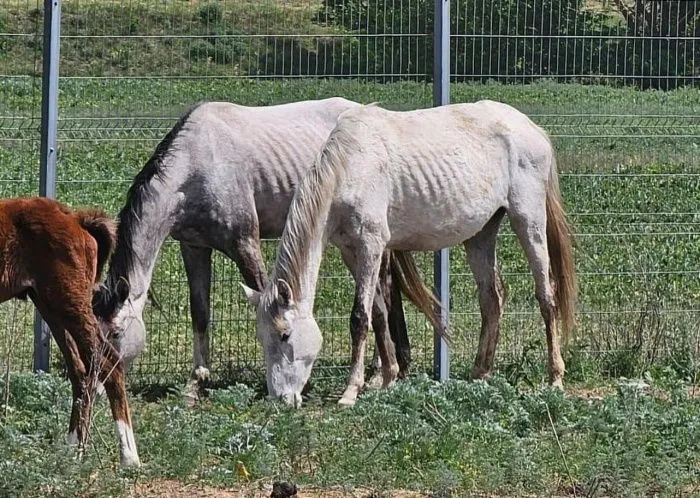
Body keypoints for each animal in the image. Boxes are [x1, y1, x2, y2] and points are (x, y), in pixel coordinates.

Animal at [0, 197, 139, 466]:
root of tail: (75, 219)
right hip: (50, 305)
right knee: (81, 371)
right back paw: (72, 450)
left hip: (69, 302)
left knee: (109, 363)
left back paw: (128, 457)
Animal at [92, 98, 438, 404]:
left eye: (116, 333)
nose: (97, 389)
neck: (198, 164)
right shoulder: (194, 247)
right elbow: (200, 313)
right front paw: (195, 385)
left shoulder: (245, 244)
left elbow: (267, 302)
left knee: (384, 290)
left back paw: (381, 372)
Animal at [243, 99, 576, 406]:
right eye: (261, 336)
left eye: (285, 334)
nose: (280, 399)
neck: (351, 165)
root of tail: (532, 128)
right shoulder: (351, 251)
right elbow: (379, 312)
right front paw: (387, 377)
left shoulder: (371, 244)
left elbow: (359, 317)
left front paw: (351, 390)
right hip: (481, 234)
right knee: (491, 299)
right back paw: (480, 373)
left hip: (528, 220)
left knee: (546, 295)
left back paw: (555, 378)